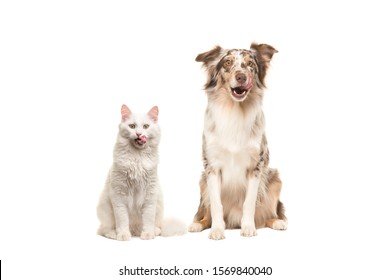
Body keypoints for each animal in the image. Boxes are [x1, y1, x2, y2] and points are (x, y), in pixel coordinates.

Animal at [95, 104, 184, 240]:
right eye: (132, 126)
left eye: (146, 126)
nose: (138, 133)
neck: (137, 157)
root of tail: (135, 230)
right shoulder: (119, 195)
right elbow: (122, 220)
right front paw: (123, 235)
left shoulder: (150, 194)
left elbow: (148, 219)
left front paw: (147, 234)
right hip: (105, 207)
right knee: (104, 229)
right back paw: (114, 234)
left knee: (157, 225)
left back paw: (154, 231)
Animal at [188, 42, 286, 240]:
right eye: (227, 62)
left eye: (250, 64)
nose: (241, 77)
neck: (234, 110)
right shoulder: (212, 167)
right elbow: (216, 205)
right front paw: (217, 230)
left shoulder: (256, 166)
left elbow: (249, 202)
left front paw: (248, 227)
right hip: (202, 182)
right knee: (206, 214)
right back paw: (198, 224)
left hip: (275, 179)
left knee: (267, 214)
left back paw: (276, 222)